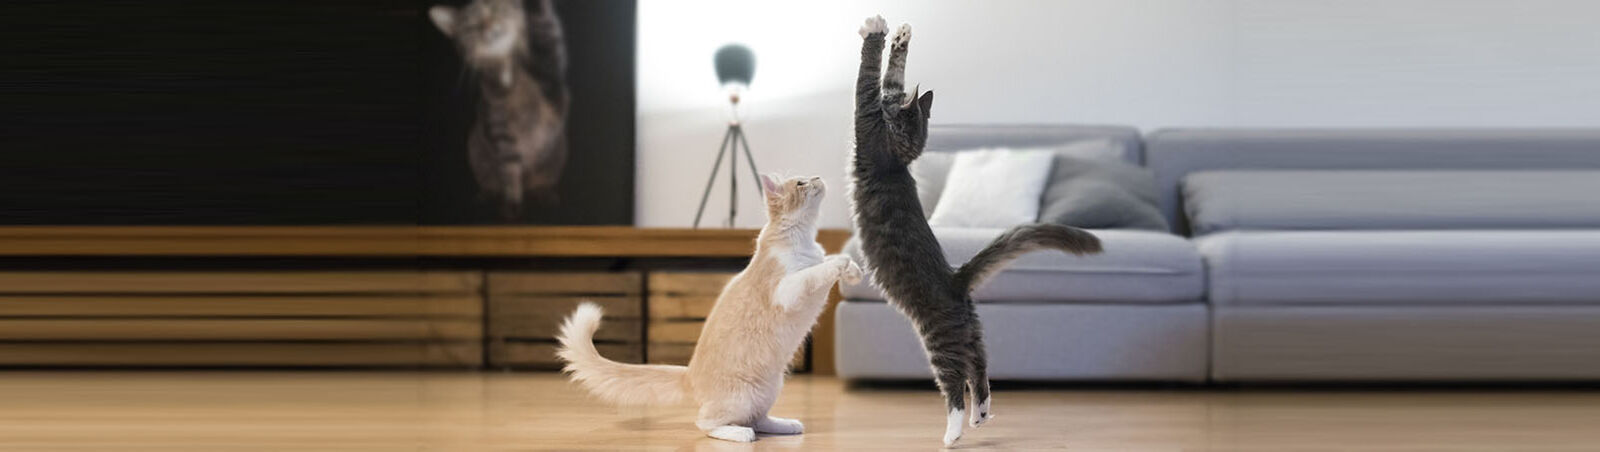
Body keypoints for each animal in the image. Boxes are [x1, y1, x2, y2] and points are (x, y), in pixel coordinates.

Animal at [432, 0, 569, 219]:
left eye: (495, 8)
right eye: (471, 24)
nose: (488, 26)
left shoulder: (550, 72)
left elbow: (546, 29)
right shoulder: (500, 129)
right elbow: (510, 169)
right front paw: (512, 203)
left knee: (541, 183)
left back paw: (544, 194)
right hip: (476, 152)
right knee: (492, 183)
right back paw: (486, 195)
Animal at [560, 173, 864, 442]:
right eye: (801, 182)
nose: (818, 178)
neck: (802, 239)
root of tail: (689, 374)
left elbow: (828, 259)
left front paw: (853, 270)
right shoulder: (786, 289)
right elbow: (816, 271)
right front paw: (843, 264)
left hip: (769, 389)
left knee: (758, 419)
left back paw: (785, 425)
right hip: (740, 397)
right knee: (707, 423)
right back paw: (741, 435)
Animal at [851, 15, 1100, 445]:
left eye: (892, 112)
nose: (890, 108)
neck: (900, 158)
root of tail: (957, 279)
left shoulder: (867, 124)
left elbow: (868, 74)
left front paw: (877, 30)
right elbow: (893, 74)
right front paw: (901, 36)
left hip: (939, 340)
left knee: (954, 383)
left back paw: (953, 433)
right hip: (972, 331)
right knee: (981, 368)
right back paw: (981, 415)